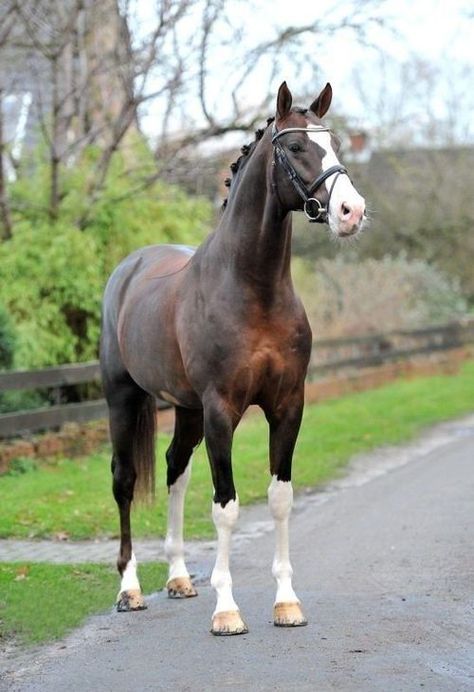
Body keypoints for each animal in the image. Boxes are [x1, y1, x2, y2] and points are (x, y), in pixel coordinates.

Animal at [100, 79, 366, 632]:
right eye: (295, 145)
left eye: (335, 143)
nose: (351, 212)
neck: (252, 289)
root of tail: (129, 268)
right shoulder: (222, 410)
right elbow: (226, 505)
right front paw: (226, 609)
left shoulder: (287, 406)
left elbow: (280, 498)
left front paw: (286, 602)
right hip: (123, 398)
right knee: (124, 479)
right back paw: (130, 588)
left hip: (186, 409)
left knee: (175, 468)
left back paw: (179, 578)